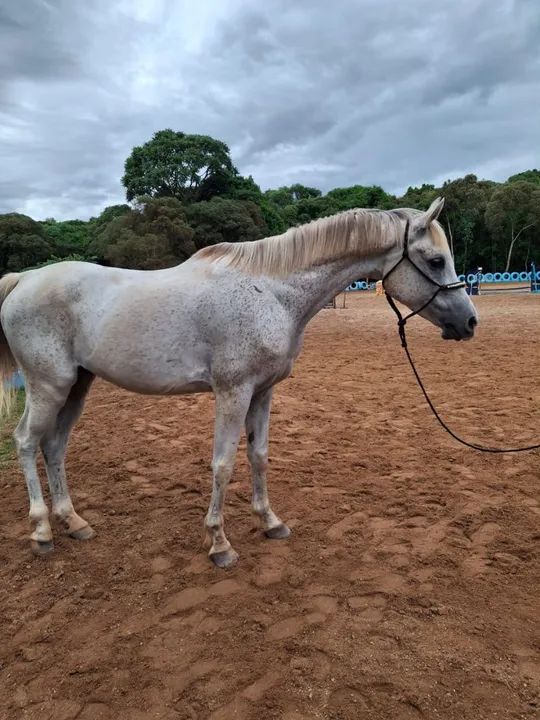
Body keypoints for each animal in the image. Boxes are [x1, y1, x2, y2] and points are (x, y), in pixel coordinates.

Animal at [0, 197, 477, 568]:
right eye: (436, 260)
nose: (469, 323)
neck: (270, 292)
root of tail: (24, 279)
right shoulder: (233, 392)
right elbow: (224, 463)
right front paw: (219, 543)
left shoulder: (263, 392)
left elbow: (259, 456)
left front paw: (270, 522)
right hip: (48, 386)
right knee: (26, 441)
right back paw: (41, 532)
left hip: (76, 387)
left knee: (54, 445)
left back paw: (73, 522)